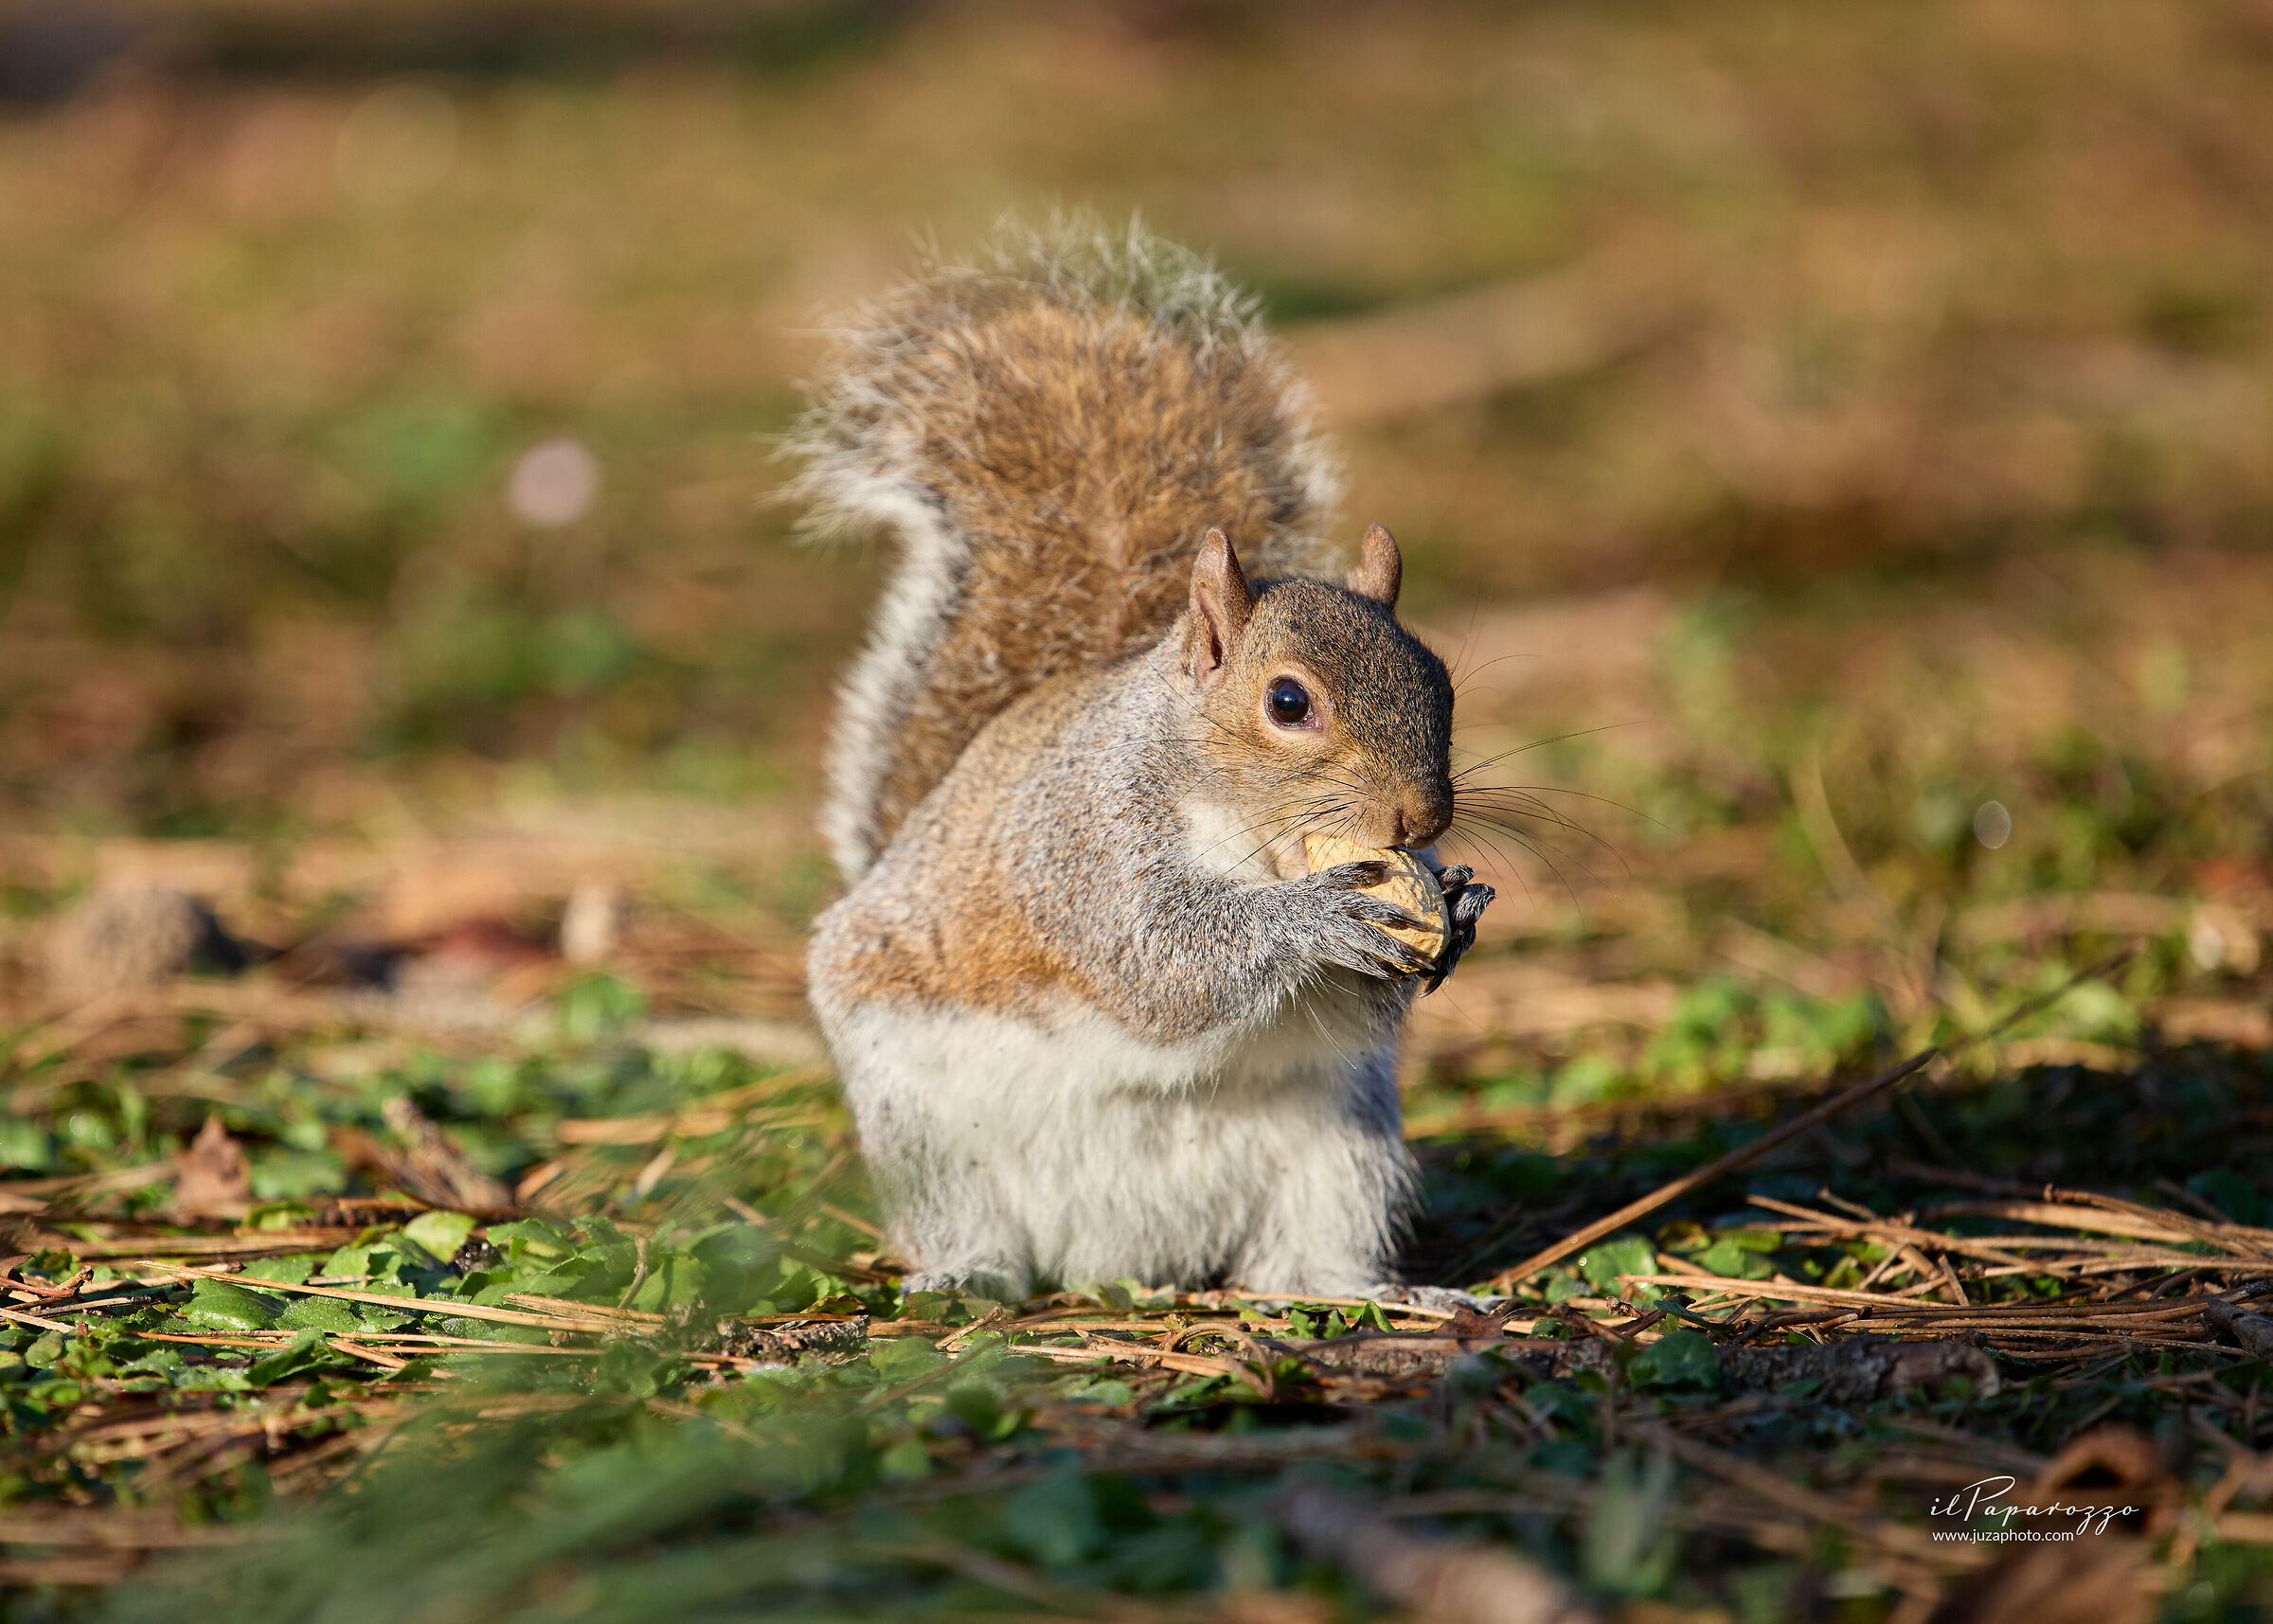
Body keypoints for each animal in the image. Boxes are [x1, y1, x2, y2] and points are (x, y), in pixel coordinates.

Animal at [795, 222, 1493, 1299]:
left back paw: (1380, 1290)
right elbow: (1159, 961)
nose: (1421, 820)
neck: (1244, 829)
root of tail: (1122, 1254)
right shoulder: (1085, 840)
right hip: (922, 1131)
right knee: (964, 1218)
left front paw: (1457, 901)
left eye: (1443, 682)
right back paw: (968, 1274)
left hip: (1345, 1145)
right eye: (1287, 701)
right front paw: (1315, 916)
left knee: (1303, 1261)